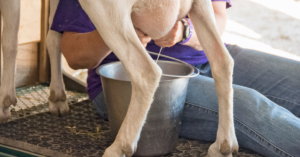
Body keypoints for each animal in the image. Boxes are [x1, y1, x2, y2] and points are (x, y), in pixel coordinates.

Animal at [0, 0, 239, 156]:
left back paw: (120, 147)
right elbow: (53, 35)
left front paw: (5, 103)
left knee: (146, 71)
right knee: (223, 62)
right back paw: (224, 145)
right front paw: (57, 98)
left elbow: (10, 39)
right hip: (201, 5)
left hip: (106, 9)